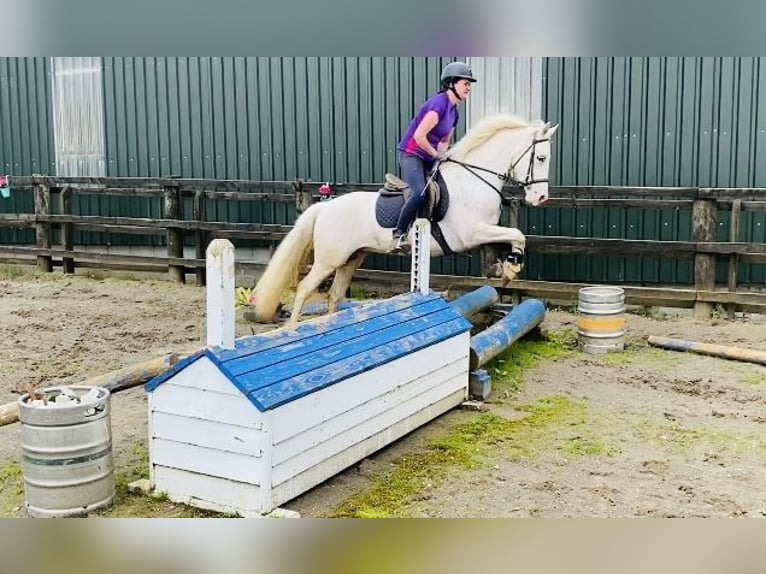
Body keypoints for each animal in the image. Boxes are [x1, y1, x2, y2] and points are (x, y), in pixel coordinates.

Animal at [252, 113, 560, 324]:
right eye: (541, 158)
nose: (541, 198)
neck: (475, 179)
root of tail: (323, 208)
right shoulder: (472, 232)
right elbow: (517, 235)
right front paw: (510, 269)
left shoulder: (486, 229)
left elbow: (511, 239)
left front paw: (505, 268)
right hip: (329, 259)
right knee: (304, 290)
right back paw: (292, 333)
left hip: (352, 258)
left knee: (334, 295)